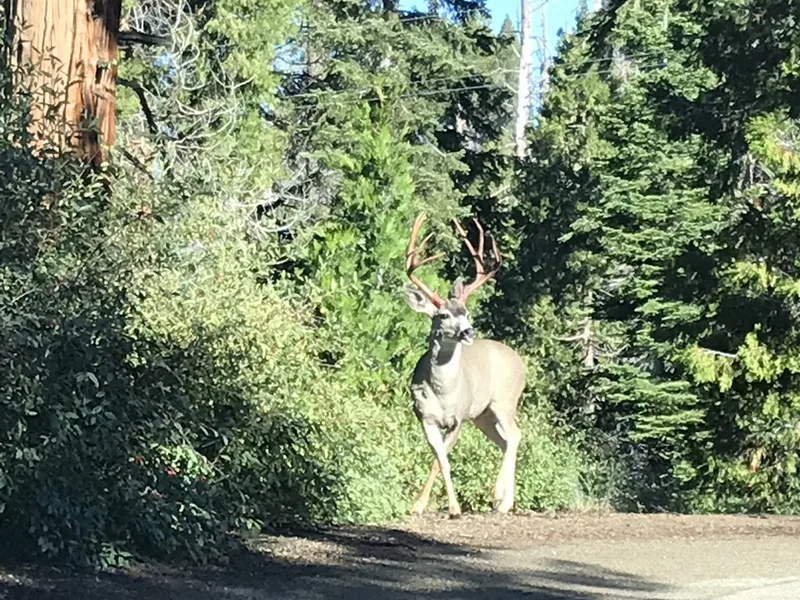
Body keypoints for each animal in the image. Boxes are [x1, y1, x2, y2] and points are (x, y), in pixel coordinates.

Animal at [403, 211, 526, 519]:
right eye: (444, 315)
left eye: (467, 312)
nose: (468, 331)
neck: (443, 393)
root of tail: (521, 363)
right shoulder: (425, 417)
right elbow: (439, 459)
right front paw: (420, 505)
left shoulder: (458, 418)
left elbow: (440, 459)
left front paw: (453, 508)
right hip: (483, 414)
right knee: (505, 440)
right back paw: (500, 499)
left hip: (504, 400)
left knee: (515, 435)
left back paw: (501, 500)